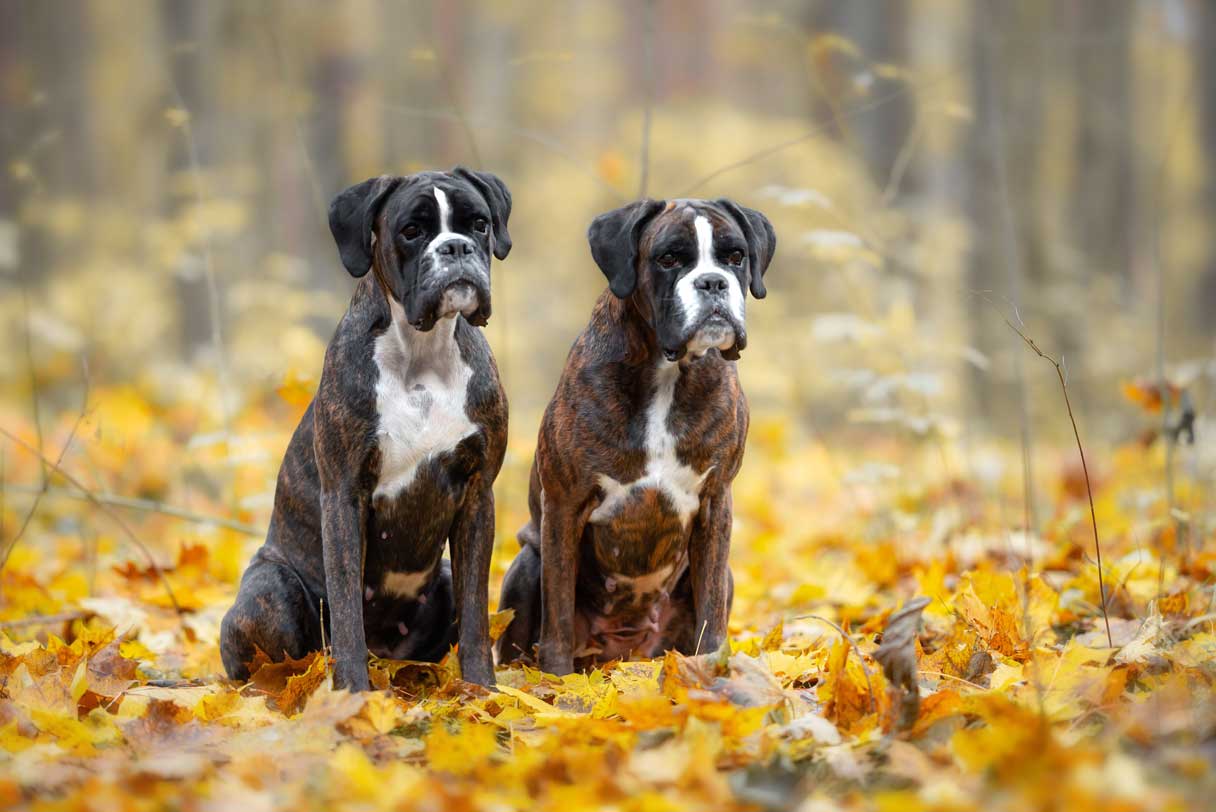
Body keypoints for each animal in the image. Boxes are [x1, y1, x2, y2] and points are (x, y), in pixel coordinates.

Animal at [221, 167, 510, 690]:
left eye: (478, 223)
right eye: (411, 231)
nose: (456, 247)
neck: (422, 355)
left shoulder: (479, 496)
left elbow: (478, 613)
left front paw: (482, 689)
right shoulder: (344, 496)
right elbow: (346, 611)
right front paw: (353, 692)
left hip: (442, 578)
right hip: (270, 590)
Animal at [496, 194, 773, 670]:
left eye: (736, 256)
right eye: (669, 259)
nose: (713, 282)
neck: (667, 372)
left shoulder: (716, 504)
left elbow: (711, 608)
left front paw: (712, 671)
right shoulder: (564, 506)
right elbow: (558, 613)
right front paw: (556, 678)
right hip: (527, 563)